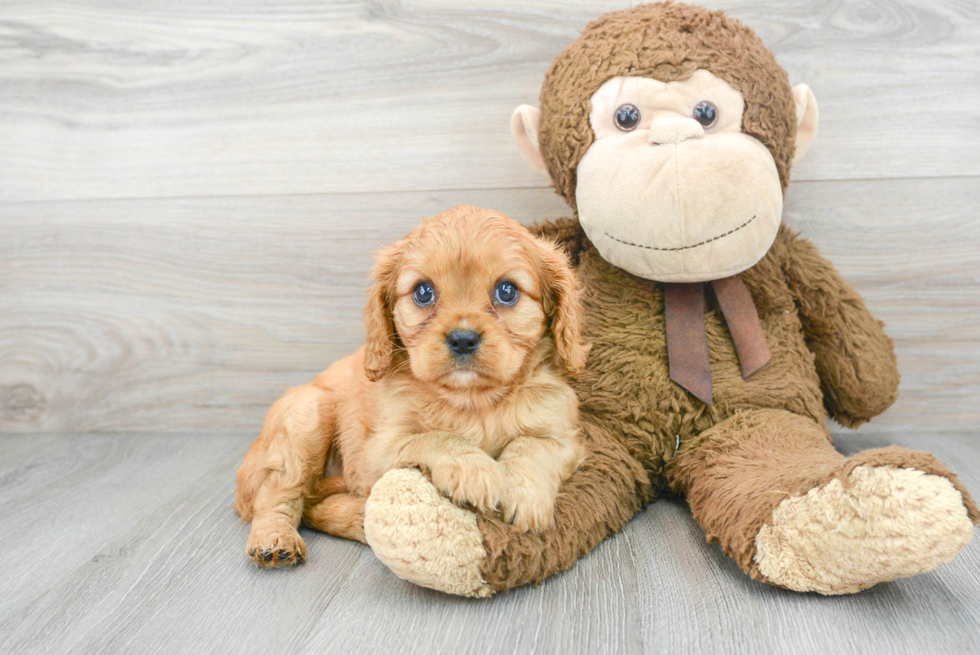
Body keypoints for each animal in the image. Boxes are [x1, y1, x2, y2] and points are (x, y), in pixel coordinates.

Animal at [234, 206, 584, 568]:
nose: (462, 339)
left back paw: (361, 518)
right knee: (278, 494)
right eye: (423, 292)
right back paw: (275, 539)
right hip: (308, 413)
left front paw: (525, 495)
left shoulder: (562, 436)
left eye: (507, 291)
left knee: (314, 505)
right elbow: (436, 437)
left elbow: (530, 446)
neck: (473, 402)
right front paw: (473, 469)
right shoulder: (377, 452)